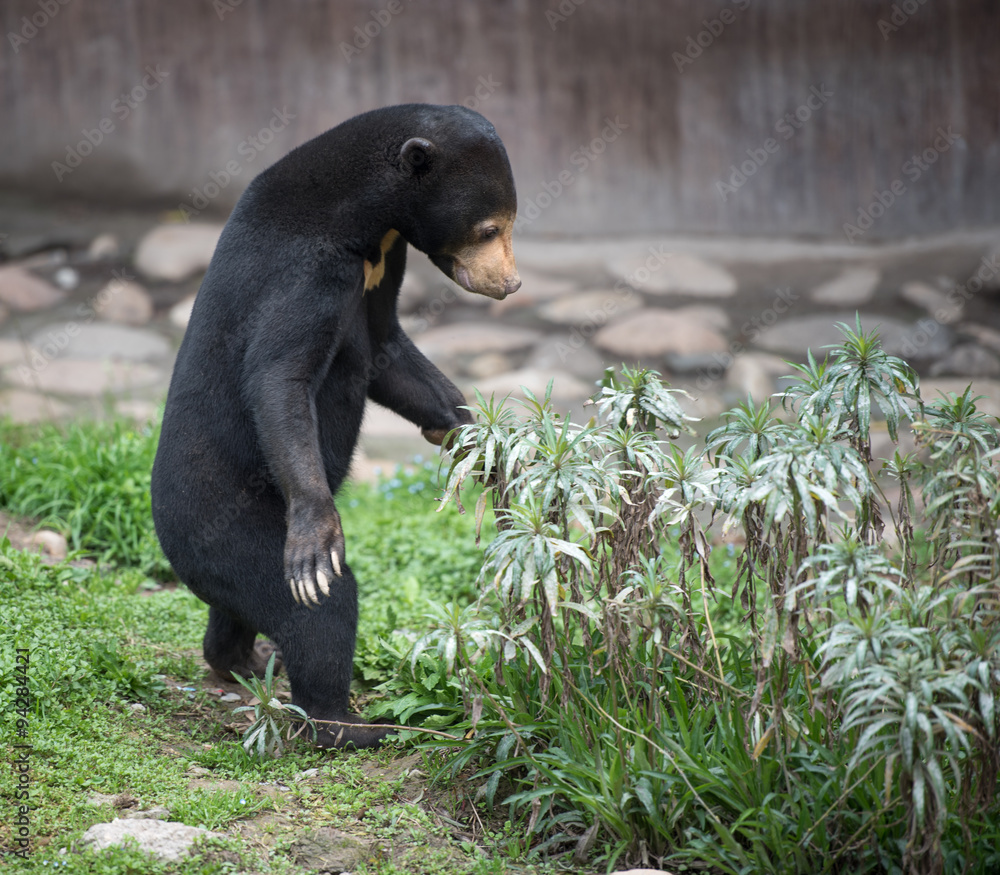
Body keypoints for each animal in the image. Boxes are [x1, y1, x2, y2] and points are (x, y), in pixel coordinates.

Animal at [152, 102, 524, 744]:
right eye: (487, 229)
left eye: (508, 223)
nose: (510, 284)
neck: (366, 218)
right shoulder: (309, 270)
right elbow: (278, 375)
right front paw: (316, 535)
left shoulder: (384, 264)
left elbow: (386, 351)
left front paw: (479, 444)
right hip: (224, 520)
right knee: (319, 607)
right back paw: (351, 723)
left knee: (236, 608)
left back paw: (241, 659)